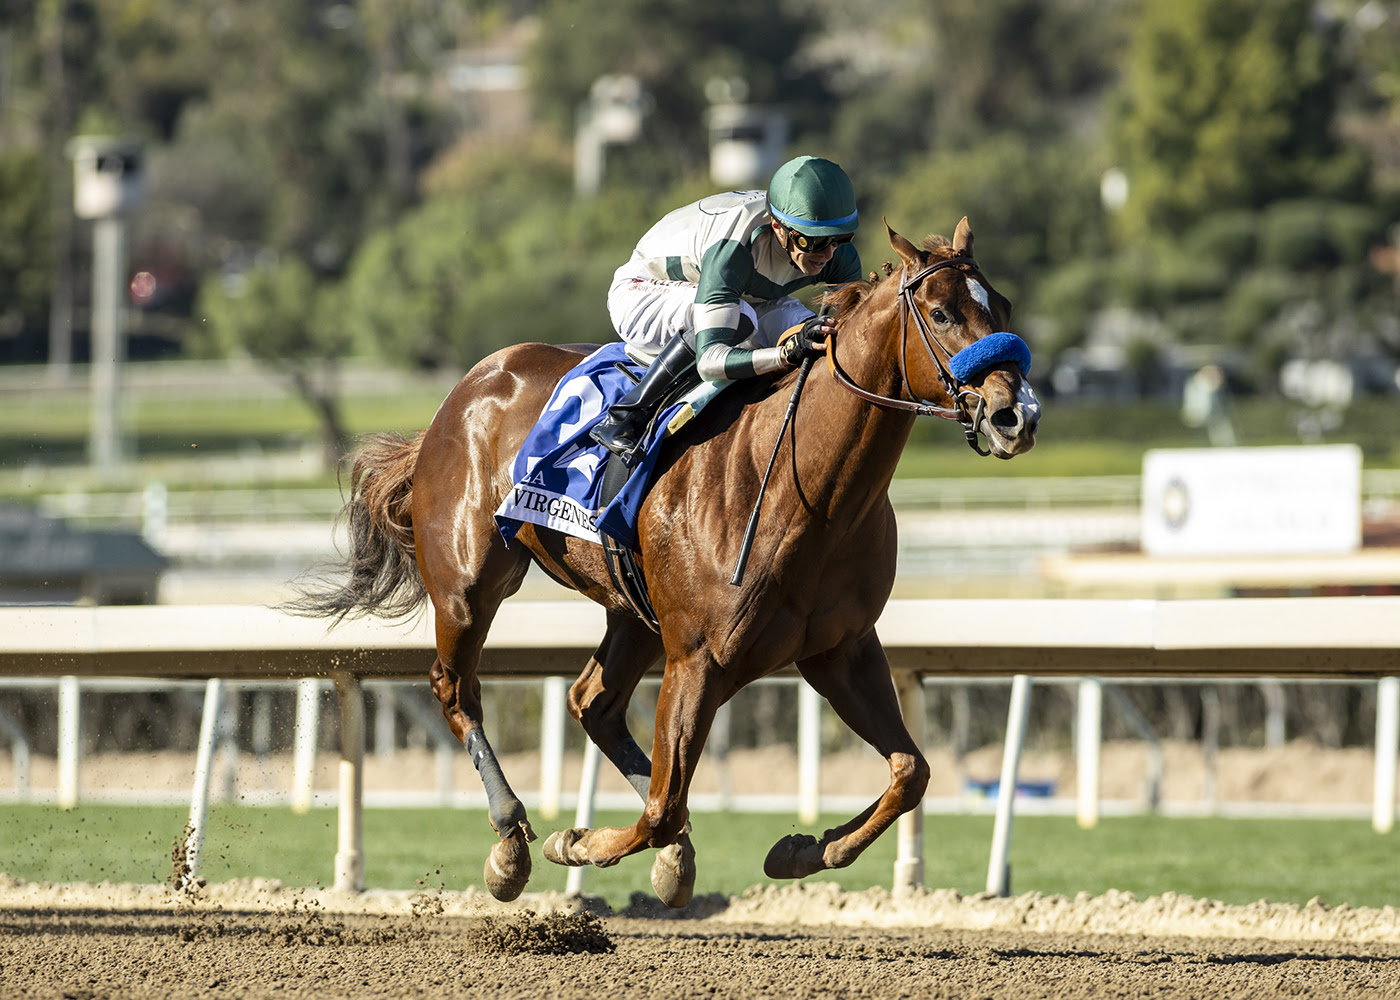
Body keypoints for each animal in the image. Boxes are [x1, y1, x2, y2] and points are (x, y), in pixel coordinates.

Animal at [292, 218, 1039, 906]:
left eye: (1001, 305)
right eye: (941, 313)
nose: (1016, 414)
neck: (808, 488)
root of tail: (463, 393)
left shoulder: (840, 650)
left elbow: (911, 772)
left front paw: (805, 849)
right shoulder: (700, 657)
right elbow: (660, 804)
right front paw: (579, 842)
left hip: (635, 610)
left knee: (593, 703)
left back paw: (671, 849)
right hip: (470, 584)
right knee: (456, 688)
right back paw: (512, 841)